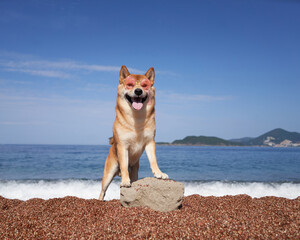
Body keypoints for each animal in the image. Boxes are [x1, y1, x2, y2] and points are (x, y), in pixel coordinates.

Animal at [99, 64, 168, 200]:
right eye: (130, 84)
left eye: (144, 85)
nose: (138, 91)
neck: (137, 119)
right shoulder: (122, 146)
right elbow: (124, 166)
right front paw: (125, 181)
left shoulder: (150, 142)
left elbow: (153, 160)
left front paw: (159, 173)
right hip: (109, 173)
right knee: (102, 191)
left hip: (135, 171)